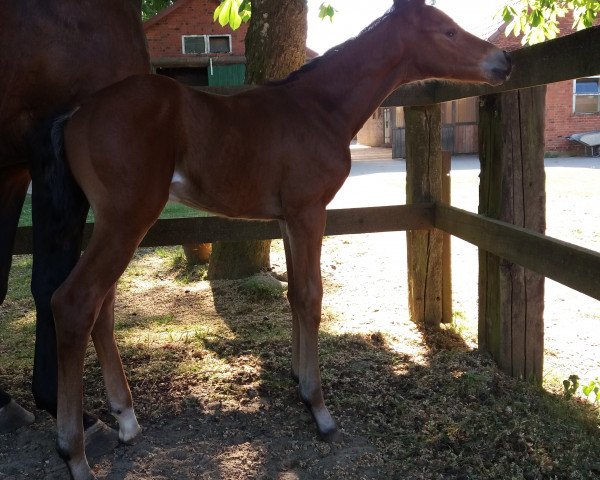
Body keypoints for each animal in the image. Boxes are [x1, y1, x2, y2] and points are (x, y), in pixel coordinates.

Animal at [52, 1, 510, 478]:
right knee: (75, 302)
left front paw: (296, 378)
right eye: (448, 31)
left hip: (111, 222)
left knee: (101, 309)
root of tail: (77, 115)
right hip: (128, 218)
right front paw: (318, 408)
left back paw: (126, 419)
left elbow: (294, 294)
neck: (318, 108)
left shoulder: (288, 218)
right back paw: (75, 454)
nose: (504, 62)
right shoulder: (310, 212)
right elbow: (310, 295)